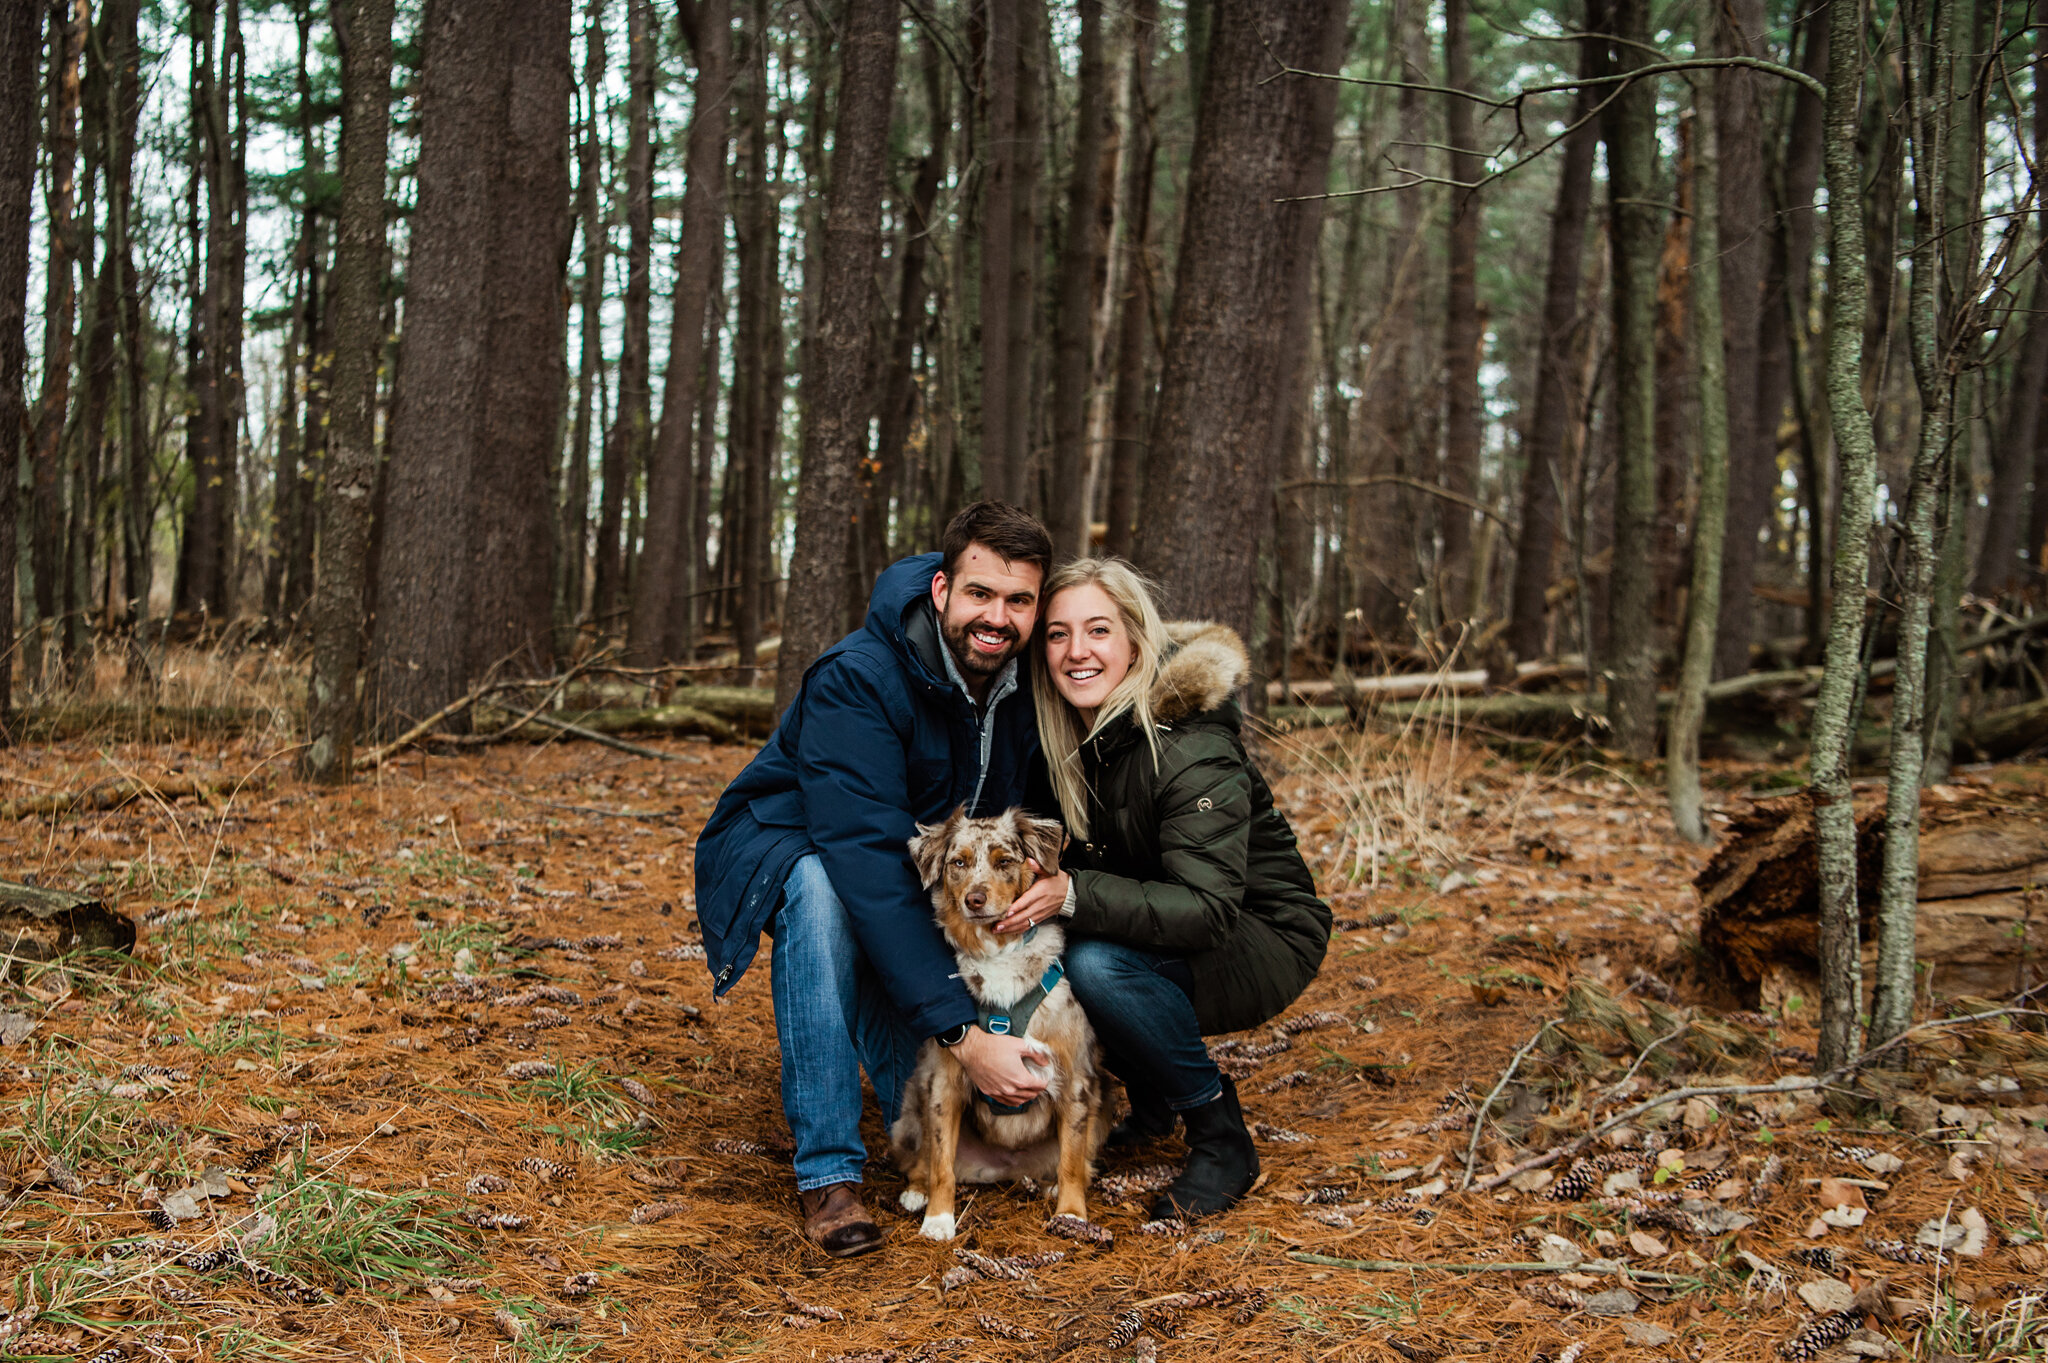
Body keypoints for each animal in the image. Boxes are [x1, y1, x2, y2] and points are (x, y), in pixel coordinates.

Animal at [884, 802, 1105, 1236]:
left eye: (1004, 861)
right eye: (958, 862)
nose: (975, 899)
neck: (997, 952)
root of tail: (1007, 1166)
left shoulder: (1075, 1081)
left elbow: (1072, 1162)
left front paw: (1072, 1215)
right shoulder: (944, 1083)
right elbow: (941, 1165)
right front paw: (938, 1220)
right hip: (913, 1104)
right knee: (924, 1158)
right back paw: (916, 1192)